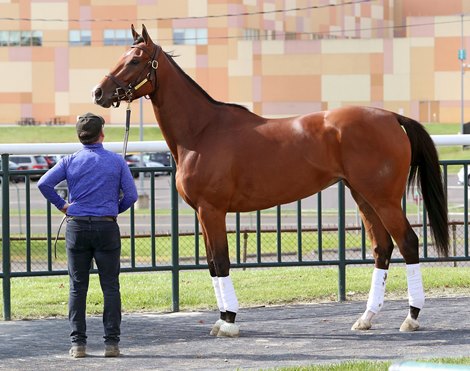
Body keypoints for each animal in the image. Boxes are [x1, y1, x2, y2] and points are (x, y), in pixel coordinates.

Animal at [92, 24, 448, 338]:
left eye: (135, 59)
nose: (99, 92)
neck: (202, 132)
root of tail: (393, 117)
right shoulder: (203, 215)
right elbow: (212, 264)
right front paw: (221, 320)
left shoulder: (212, 210)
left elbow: (221, 261)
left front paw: (229, 322)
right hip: (363, 196)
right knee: (382, 248)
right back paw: (367, 318)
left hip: (384, 199)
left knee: (408, 243)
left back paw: (412, 318)